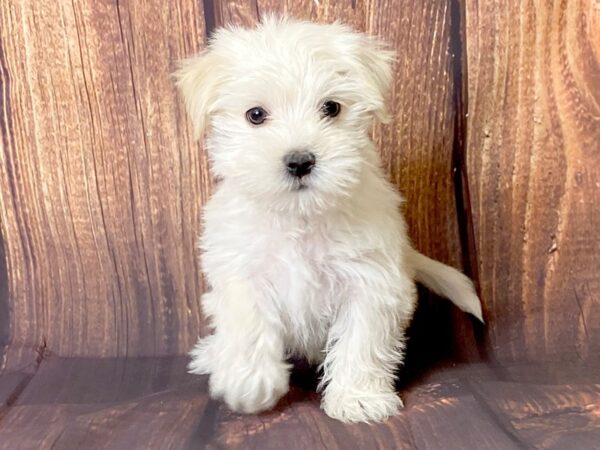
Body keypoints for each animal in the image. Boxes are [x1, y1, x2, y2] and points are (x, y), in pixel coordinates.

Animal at [177, 14, 482, 422]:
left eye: (332, 108)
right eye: (255, 115)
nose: (299, 161)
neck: (300, 216)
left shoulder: (371, 281)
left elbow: (362, 340)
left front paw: (357, 397)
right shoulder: (242, 268)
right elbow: (248, 320)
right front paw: (249, 381)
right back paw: (213, 355)